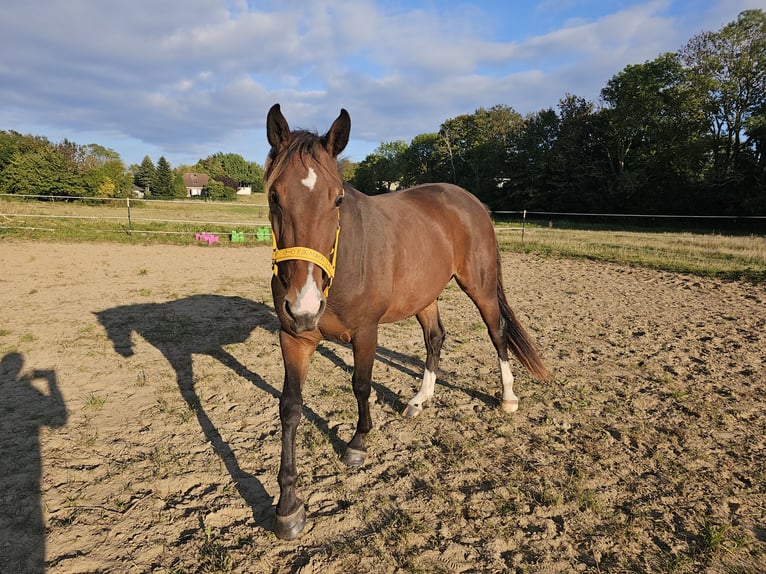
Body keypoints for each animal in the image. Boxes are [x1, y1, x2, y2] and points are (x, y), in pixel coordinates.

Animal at [265, 103, 550, 540]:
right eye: (274, 195)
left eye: (337, 198)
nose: (304, 304)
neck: (343, 260)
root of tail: (470, 201)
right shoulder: (294, 337)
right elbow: (290, 407)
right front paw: (288, 507)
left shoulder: (365, 332)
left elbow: (361, 385)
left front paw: (357, 443)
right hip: (425, 296)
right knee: (435, 339)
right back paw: (420, 399)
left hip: (480, 286)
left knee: (497, 333)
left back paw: (507, 397)